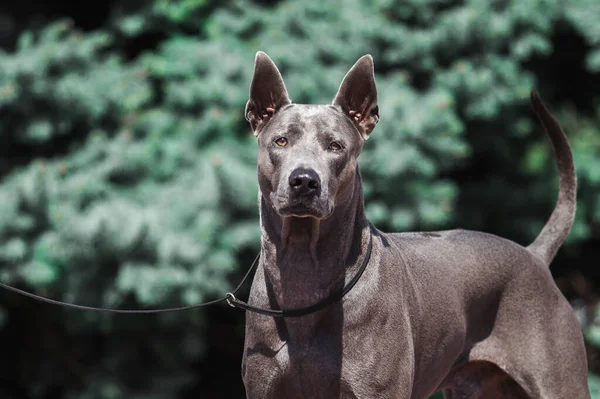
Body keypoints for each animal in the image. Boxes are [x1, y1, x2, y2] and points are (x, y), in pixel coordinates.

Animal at [239, 53, 592, 399]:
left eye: (335, 147)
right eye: (281, 141)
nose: (304, 180)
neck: (303, 269)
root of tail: (534, 255)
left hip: (559, 379)